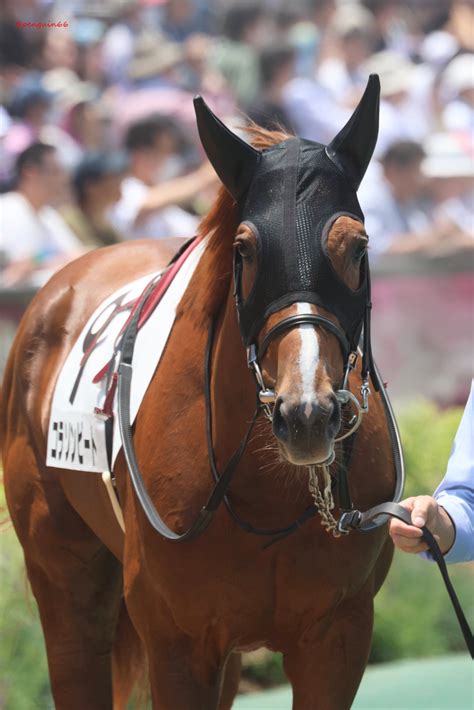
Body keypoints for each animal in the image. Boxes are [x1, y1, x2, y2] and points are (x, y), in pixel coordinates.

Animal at [1, 75, 398, 708]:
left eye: (357, 247)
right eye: (244, 249)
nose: (307, 415)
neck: (266, 493)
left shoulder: (337, 638)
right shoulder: (177, 643)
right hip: (65, 587)